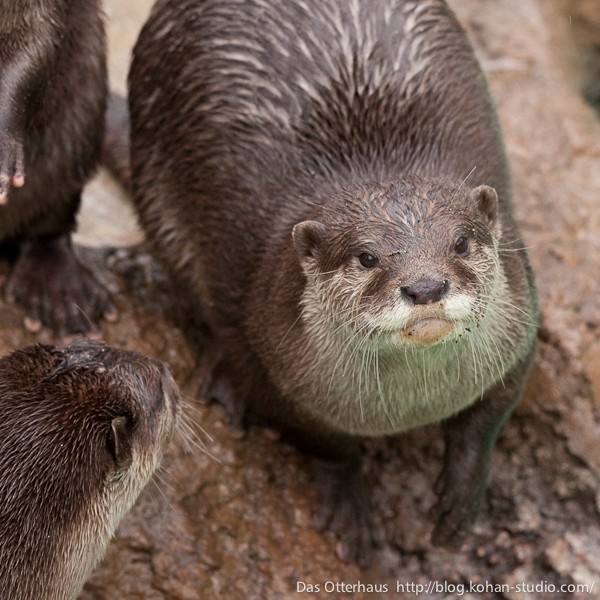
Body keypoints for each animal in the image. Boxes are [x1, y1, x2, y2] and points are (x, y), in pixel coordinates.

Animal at [126, 0, 540, 564]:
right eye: (366, 257)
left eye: (460, 242)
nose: (426, 288)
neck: (412, 407)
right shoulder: (277, 374)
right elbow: (327, 442)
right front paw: (347, 498)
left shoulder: (520, 330)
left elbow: (489, 417)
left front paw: (461, 495)